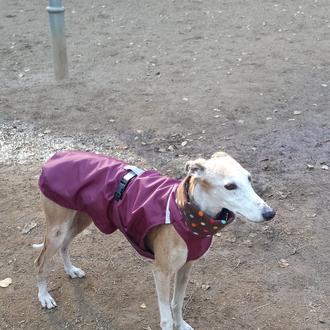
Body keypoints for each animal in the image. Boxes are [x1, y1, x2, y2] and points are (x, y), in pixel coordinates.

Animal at [34, 151, 276, 328]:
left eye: (249, 179)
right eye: (230, 186)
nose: (270, 213)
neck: (186, 212)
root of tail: (55, 156)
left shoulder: (186, 266)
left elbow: (177, 303)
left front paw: (182, 325)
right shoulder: (161, 272)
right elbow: (166, 317)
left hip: (81, 219)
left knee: (65, 246)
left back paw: (71, 271)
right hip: (57, 229)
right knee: (40, 262)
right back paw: (44, 297)